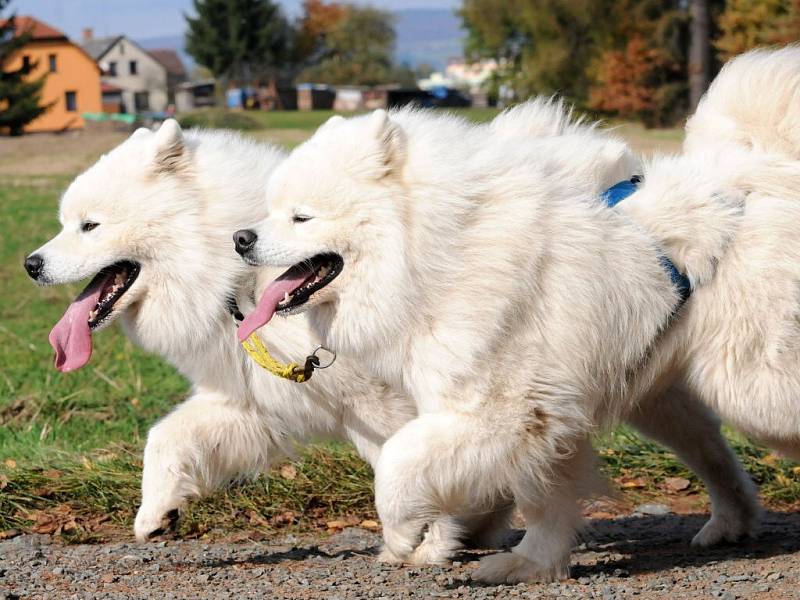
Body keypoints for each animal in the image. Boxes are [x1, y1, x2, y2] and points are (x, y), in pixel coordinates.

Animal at [25, 116, 756, 564]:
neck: (232, 274)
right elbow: (166, 437)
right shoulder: (261, 399)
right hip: (649, 392)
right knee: (713, 449)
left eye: (88, 226)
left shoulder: (397, 399)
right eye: (63, 223)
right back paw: (731, 521)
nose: (31, 262)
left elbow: (410, 466)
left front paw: (434, 541)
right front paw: (157, 512)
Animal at [233, 67, 792, 580]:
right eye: (271, 210)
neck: (439, 253)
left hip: (750, 390)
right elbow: (546, 502)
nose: (241, 238)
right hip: (655, 393)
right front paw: (529, 563)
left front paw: (405, 534)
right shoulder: (546, 414)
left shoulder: (504, 407)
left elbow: (397, 460)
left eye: (302, 217)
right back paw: (731, 524)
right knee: (714, 453)